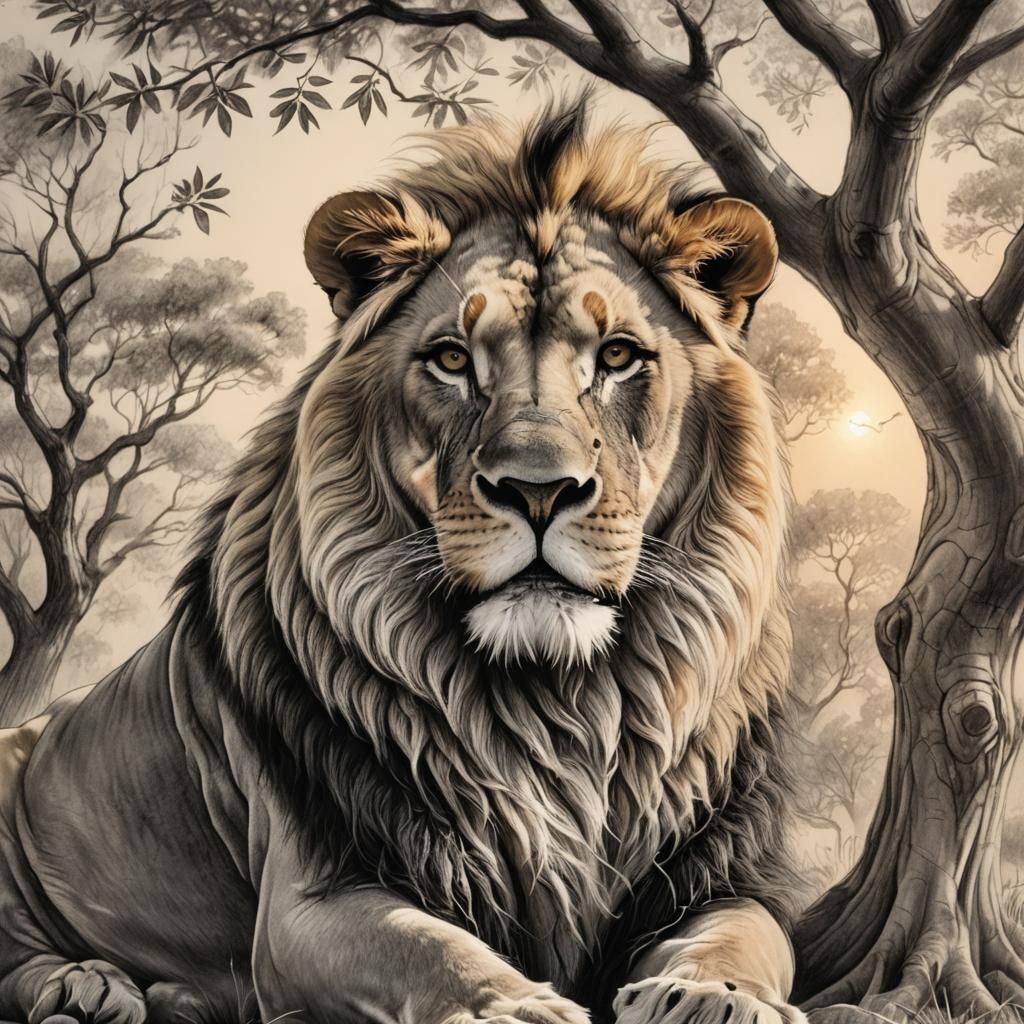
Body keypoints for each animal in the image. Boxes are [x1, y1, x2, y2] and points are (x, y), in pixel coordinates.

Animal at [0, 104, 804, 1024]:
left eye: (618, 356)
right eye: (453, 358)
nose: (538, 489)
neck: (553, 702)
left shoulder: (722, 869)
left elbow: (744, 936)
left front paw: (711, 998)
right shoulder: (312, 898)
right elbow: (430, 950)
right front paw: (519, 1008)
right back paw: (83, 983)